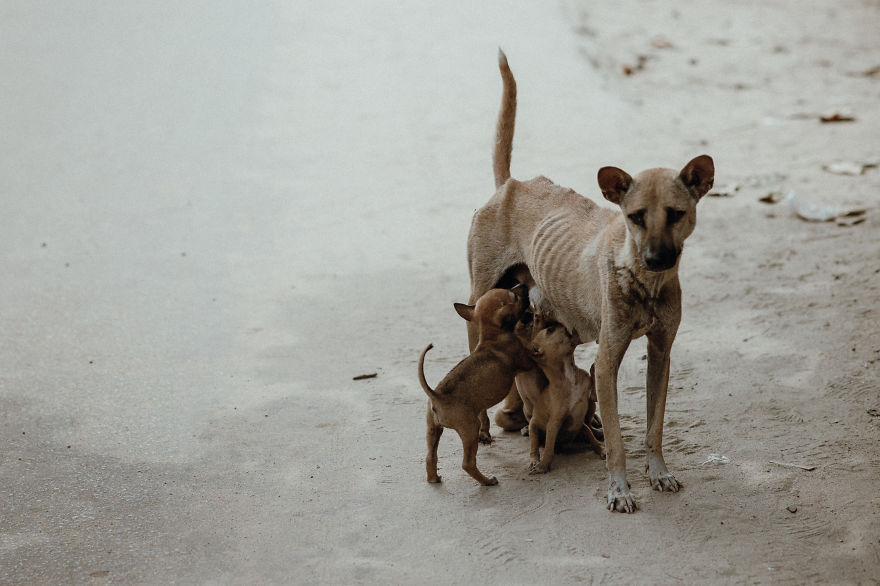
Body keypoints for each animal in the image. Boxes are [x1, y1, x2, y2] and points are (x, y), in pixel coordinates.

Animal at [520, 318, 600, 472]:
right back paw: (534, 460)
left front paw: (594, 368)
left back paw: (602, 449)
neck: (569, 377)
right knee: (534, 445)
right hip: (534, 426)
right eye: (550, 330)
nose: (564, 323)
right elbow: (548, 449)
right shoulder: (554, 422)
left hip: (582, 426)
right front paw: (543, 466)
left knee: (591, 436)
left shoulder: (592, 397)